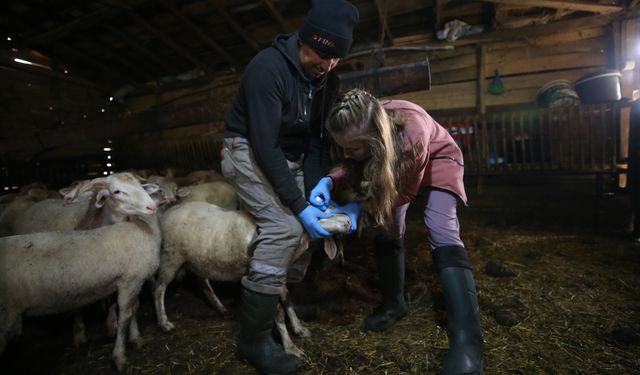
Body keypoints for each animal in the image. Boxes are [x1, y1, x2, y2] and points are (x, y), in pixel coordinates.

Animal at [0, 173, 160, 374]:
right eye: (116, 191)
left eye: (140, 185)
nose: (152, 206)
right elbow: (82, 307)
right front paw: (83, 336)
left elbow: (127, 306)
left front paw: (128, 333)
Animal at [151, 203, 350, 358]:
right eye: (320, 212)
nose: (348, 221)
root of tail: (168, 212)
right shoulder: (263, 276)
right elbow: (277, 311)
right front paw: (290, 347)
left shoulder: (278, 272)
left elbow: (287, 299)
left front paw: (298, 328)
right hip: (170, 257)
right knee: (159, 289)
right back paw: (164, 323)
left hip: (199, 259)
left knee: (203, 282)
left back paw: (220, 307)